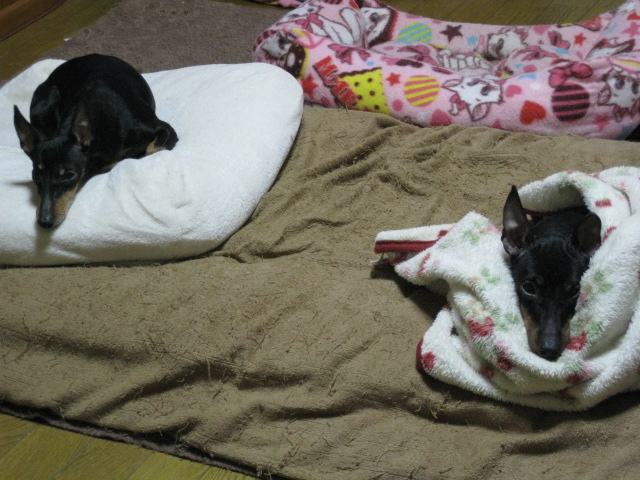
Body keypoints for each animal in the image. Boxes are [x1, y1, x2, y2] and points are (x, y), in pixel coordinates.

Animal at [13, 54, 178, 228]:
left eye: (68, 176)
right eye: (36, 175)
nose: (44, 222)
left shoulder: (166, 130)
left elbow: (151, 150)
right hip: (45, 105)